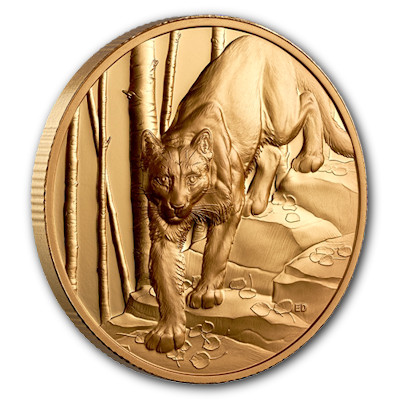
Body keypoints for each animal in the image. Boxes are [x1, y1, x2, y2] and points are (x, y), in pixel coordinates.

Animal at [140, 35, 354, 353]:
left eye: (192, 177)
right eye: (164, 179)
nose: (177, 205)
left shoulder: (228, 208)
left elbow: (216, 252)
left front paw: (205, 293)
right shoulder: (163, 229)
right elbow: (165, 280)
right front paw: (168, 331)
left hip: (280, 118)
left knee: (308, 101)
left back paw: (310, 157)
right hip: (261, 128)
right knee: (272, 154)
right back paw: (256, 201)